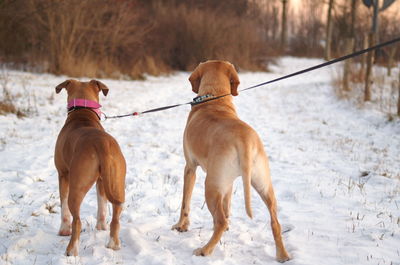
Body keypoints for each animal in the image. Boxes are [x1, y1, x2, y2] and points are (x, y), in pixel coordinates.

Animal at [53, 79, 125, 256]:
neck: (83, 112)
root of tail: (102, 143)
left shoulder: (62, 174)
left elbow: (63, 206)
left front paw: (63, 229)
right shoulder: (101, 181)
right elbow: (102, 205)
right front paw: (100, 227)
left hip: (77, 187)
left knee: (77, 220)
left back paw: (71, 250)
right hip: (117, 183)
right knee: (116, 216)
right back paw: (113, 243)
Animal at [172, 59, 290, 260]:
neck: (215, 98)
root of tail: (245, 139)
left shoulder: (190, 167)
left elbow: (185, 202)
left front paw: (181, 226)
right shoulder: (227, 183)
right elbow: (227, 206)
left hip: (210, 186)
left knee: (220, 221)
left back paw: (205, 250)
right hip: (262, 184)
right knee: (275, 222)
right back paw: (282, 255)